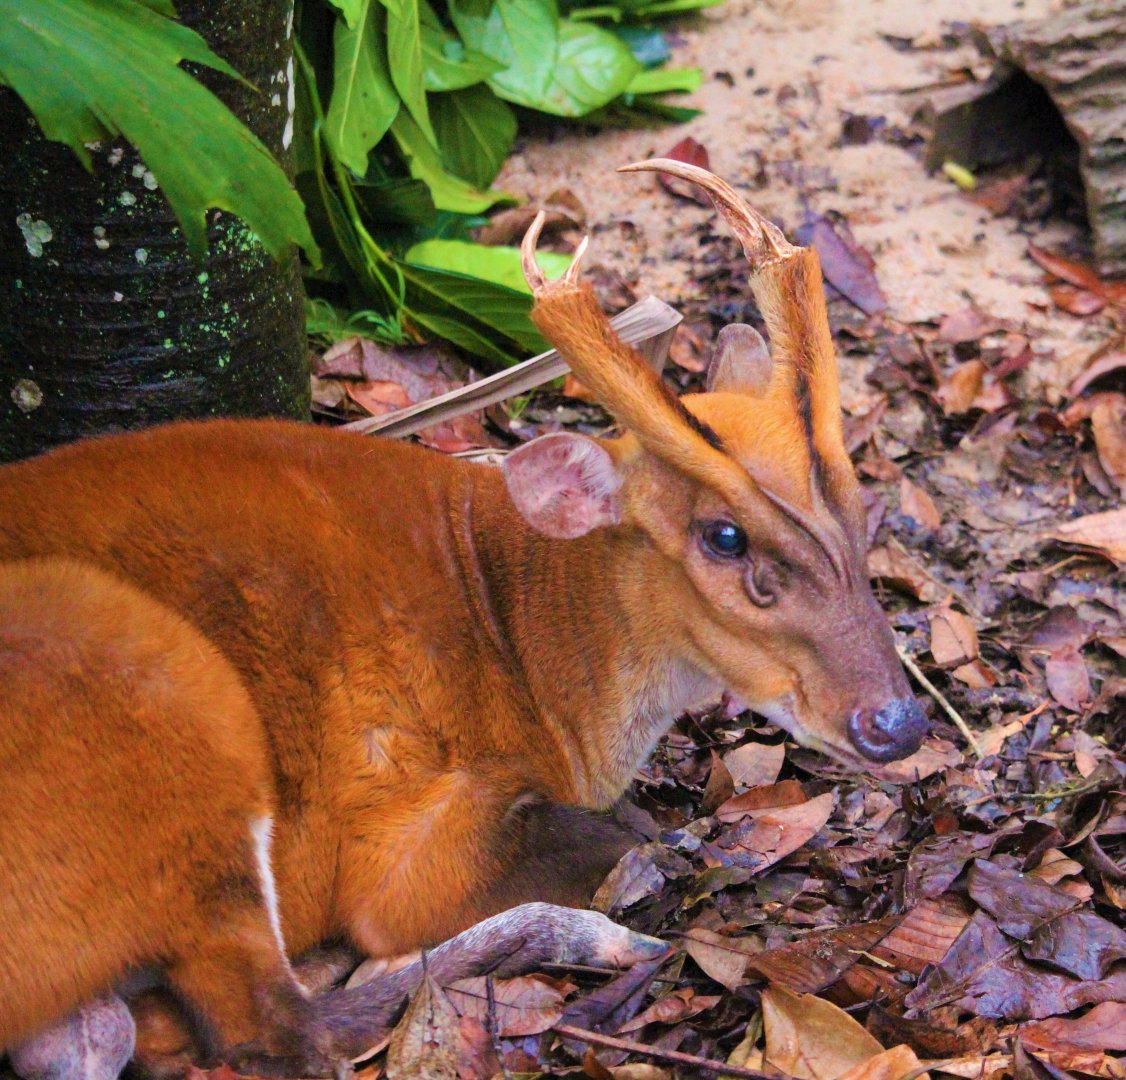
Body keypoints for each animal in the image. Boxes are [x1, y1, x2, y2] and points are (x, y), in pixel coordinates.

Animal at [0, 161, 927, 1079]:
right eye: (724, 536)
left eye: (860, 506)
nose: (897, 722)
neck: (527, 643)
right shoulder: (398, 830)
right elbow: (615, 838)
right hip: (158, 681)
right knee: (264, 1023)